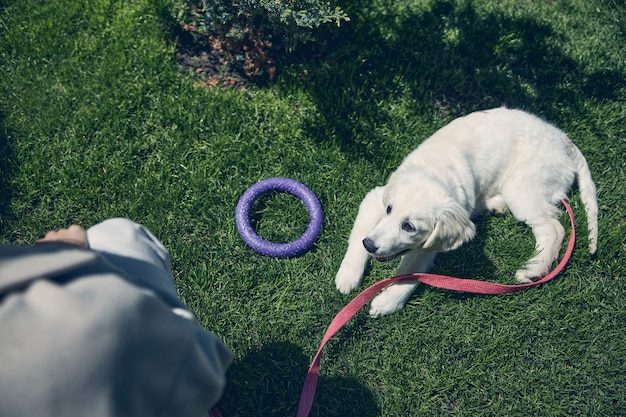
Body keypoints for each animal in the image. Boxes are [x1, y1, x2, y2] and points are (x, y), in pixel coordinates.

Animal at [334, 106, 596, 316]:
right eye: (389, 209)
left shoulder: (432, 243)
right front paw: (348, 276)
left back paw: (534, 269)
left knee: (553, 228)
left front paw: (387, 300)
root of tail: (561, 138)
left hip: (522, 186)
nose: (370, 245)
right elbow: (358, 237)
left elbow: (410, 272)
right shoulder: (375, 199)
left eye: (408, 226)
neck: (438, 171)